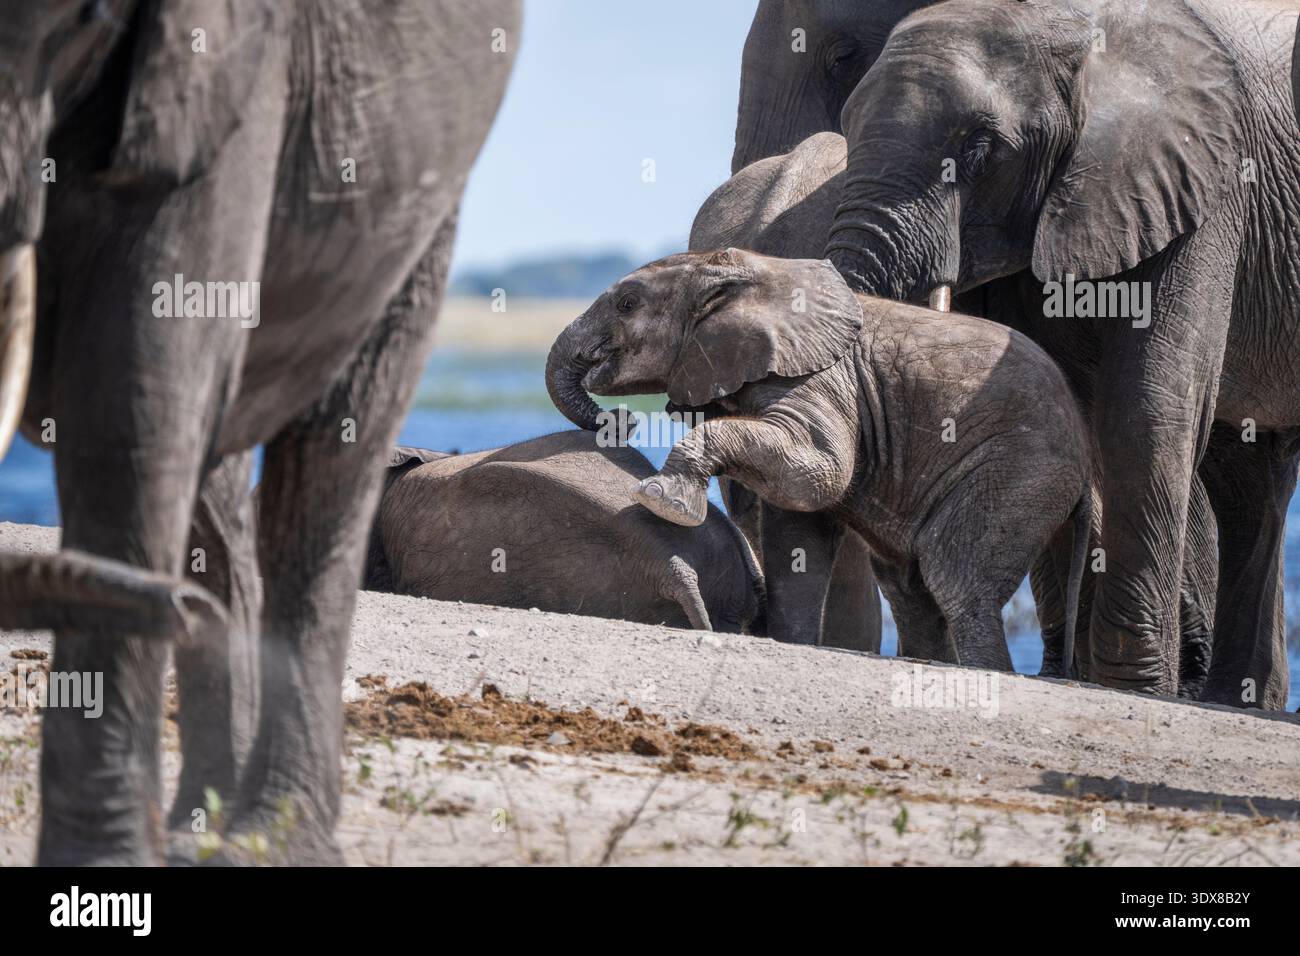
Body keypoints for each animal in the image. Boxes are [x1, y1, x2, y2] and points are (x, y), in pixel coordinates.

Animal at [0, 0, 518, 864]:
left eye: (80, 21)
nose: (176, 610)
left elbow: (134, 397)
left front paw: (102, 862)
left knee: (327, 467)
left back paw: (264, 837)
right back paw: (199, 824)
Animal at [546, 249, 1093, 672]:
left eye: (627, 303)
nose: (621, 420)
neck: (735, 270)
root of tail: (1087, 463)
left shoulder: (821, 379)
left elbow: (820, 474)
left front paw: (662, 501)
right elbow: (797, 528)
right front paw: (790, 641)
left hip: (1018, 470)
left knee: (956, 578)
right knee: (910, 588)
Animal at [825, 0, 1300, 708]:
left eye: (980, 148)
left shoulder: (1206, 184)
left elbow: (1149, 400)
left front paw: (1132, 686)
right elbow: (1059, 400)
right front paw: (1081, 674)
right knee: (1248, 477)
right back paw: (1232, 698)